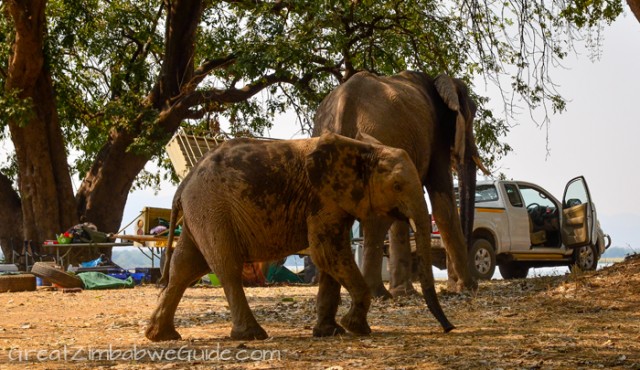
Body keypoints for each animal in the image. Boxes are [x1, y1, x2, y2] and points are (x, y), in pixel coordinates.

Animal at [146, 132, 456, 342]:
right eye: (397, 185)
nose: (449, 328)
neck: (363, 148)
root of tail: (185, 182)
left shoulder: (335, 202)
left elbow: (330, 259)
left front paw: (330, 332)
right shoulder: (322, 198)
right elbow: (326, 252)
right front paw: (355, 328)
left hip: (201, 212)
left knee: (185, 268)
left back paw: (161, 336)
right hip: (213, 209)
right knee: (226, 268)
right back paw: (252, 335)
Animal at [312, 70, 488, 298]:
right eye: (472, 115)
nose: (453, 285)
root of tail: (343, 105)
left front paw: (404, 292)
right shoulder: (435, 137)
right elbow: (443, 206)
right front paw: (468, 287)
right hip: (380, 136)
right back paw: (377, 293)